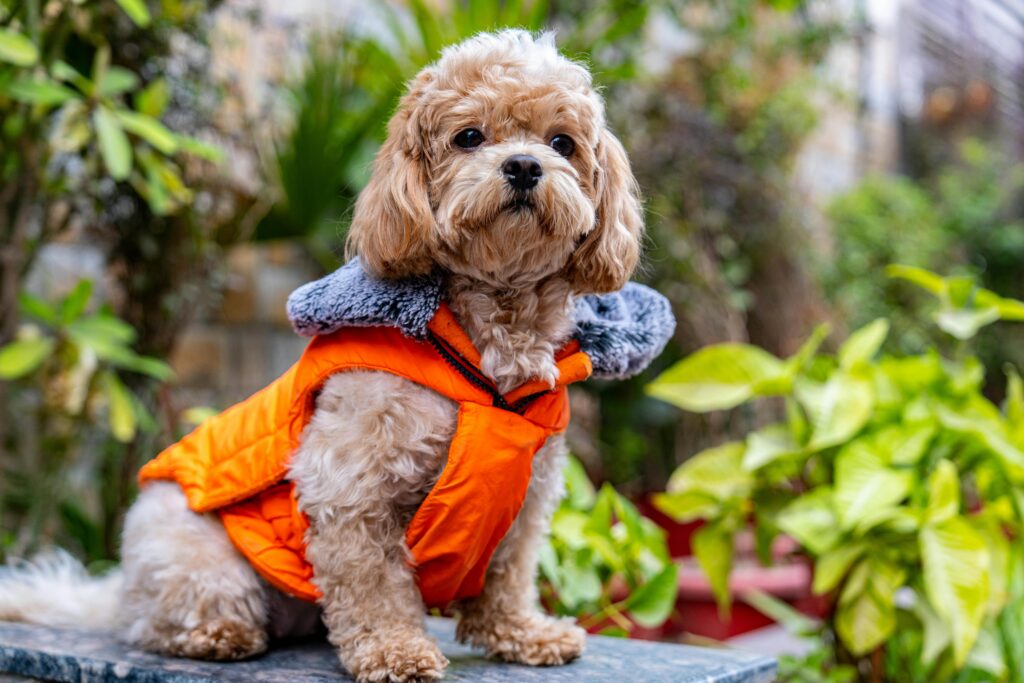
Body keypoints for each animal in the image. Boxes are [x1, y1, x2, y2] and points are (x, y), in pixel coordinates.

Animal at [0, 29, 663, 679]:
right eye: (469, 136)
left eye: (562, 142)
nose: (524, 164)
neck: (489, 349)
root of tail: (117, 590)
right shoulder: (353, 484)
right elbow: (374, 583)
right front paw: (395, 651)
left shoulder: (527, 494)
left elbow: (509, 572)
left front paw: (520, 633)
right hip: (191, 548)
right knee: (162, 620)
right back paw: (217, 635)